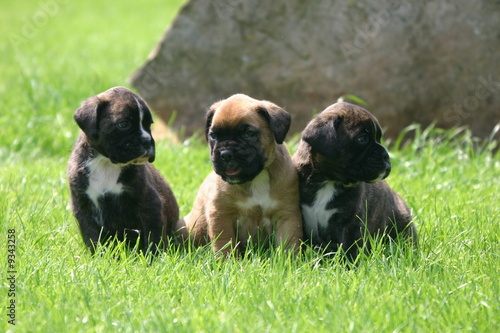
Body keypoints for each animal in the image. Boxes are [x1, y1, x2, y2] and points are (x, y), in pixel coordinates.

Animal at [67, 86, 179, 254]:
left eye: (149, 124)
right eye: (124, 124)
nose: (147, 141)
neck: (106, 163)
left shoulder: (149, 203)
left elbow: (153, 235)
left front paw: (154, 256)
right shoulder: (83, 206)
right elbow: (92, 237)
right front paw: (98, 256)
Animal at [178, 93, 302, 254]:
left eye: (248, 133)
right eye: (213, 136)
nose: (225, 154)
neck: (256, 178)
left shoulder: (286, 215)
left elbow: (289, 243)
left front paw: (288, 258)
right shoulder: (221, 214)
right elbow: (224, 243)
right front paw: (225, 259)